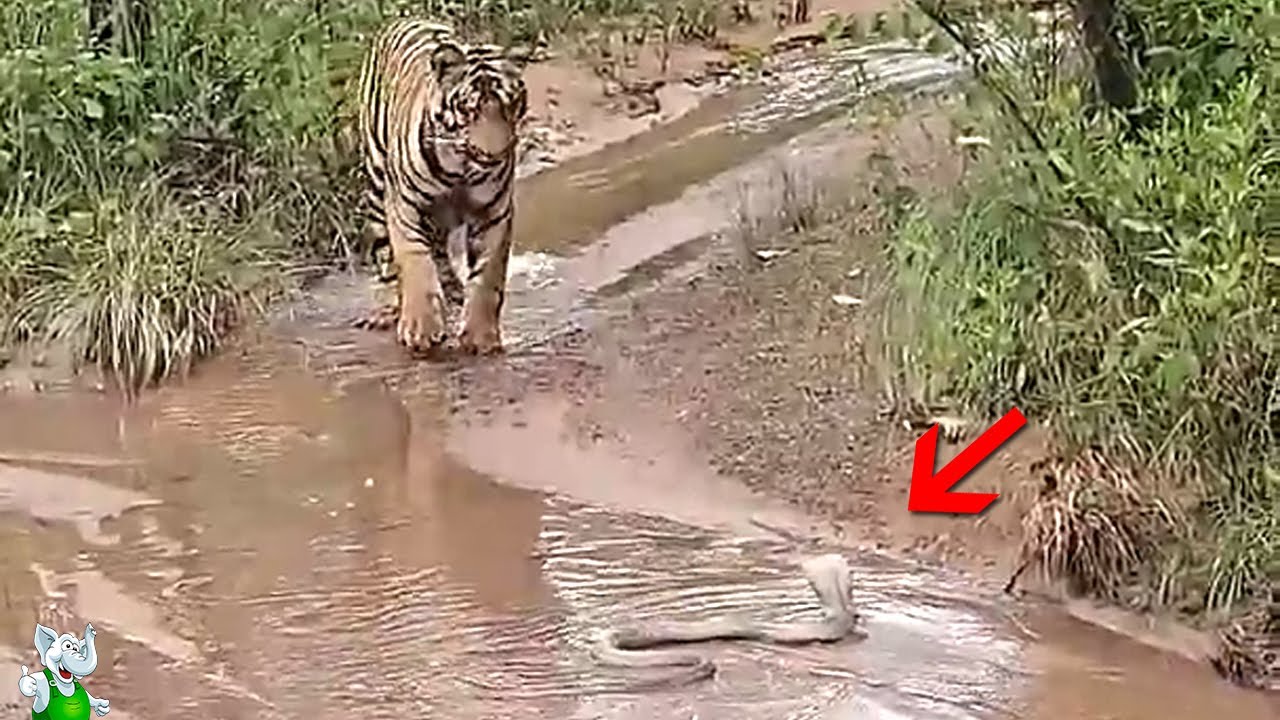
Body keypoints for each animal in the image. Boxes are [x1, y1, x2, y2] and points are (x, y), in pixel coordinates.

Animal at [356, 18, 529, 355]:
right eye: (469, 110)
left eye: (509, 105)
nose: (494, 154)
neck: (460, 170)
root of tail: (402, 19)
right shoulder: (404, 206)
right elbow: (415, 262)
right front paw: (420, 329)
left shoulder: (494, 213)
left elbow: (488, 276)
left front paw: (480, 337)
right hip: (377, 183)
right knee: (388, 257)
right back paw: (388, 310)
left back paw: (453, 294)